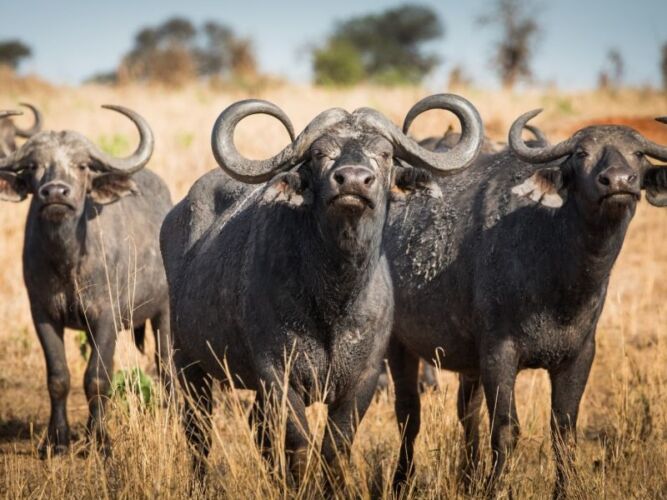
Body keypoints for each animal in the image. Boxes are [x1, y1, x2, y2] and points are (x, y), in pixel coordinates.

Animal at [0, 106, 172, 455]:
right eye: (34, 166)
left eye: (81, 166)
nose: (55, 192)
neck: (67, 261)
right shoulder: (43, 315)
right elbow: (58, 377)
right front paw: (56, 441)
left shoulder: (105, 317)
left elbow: (97, 378)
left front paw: (100, 440)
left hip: (163, 313)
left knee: (164, 365)